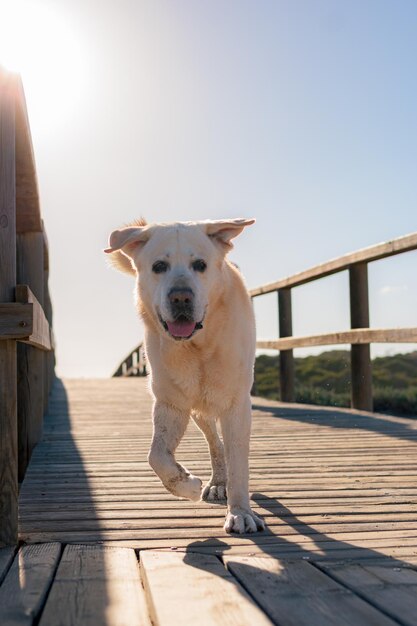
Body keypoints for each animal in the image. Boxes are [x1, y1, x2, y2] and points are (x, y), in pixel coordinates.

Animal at [105, 216, 264, 532]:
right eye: (159, 266)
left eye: (200, 264)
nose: (181, 297)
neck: (197, 346)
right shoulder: (171, 404)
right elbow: (156, 456)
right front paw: (188, 486)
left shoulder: (236, 404)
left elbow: (239, 463)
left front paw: (240, 512)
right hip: (200, 411)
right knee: (214, 444)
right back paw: (217, 482)